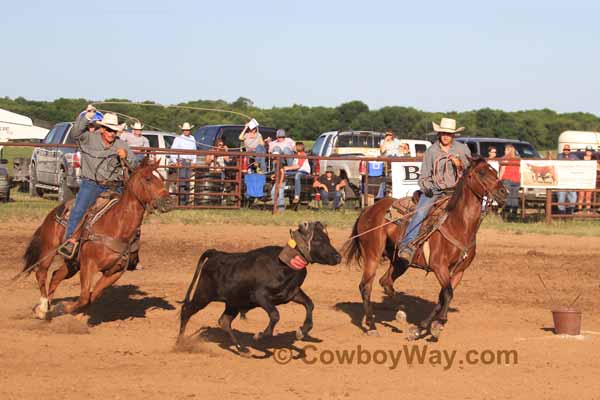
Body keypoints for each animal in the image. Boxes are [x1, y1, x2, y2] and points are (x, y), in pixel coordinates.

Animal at [21, 158, 175, 320]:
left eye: (162, 179)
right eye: (148, 179)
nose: (169, 202)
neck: (116, 226)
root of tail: (53, 212)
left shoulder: (115, 271)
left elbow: (91, 296)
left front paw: (73, 313)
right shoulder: (88, 265)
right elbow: (84, 297)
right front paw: (65, 307)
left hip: (73, 263)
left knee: (56, 276)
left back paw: (47, 310)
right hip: (49, 250)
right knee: (41, 273)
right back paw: (43, 308)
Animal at [344, 156, 508, 340]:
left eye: (495, 171)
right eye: (481, 172)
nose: (504, 192)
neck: (459, 224)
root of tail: (368, 210)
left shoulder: (459, 270)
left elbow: (443, 295)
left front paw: (421, 328)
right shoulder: (439, 266)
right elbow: (448, 293)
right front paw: (438, 324)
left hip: (401, 260)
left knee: (385, 281)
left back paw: (400, 313)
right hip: (372, 254)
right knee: (365, 286)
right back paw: (372, 326)